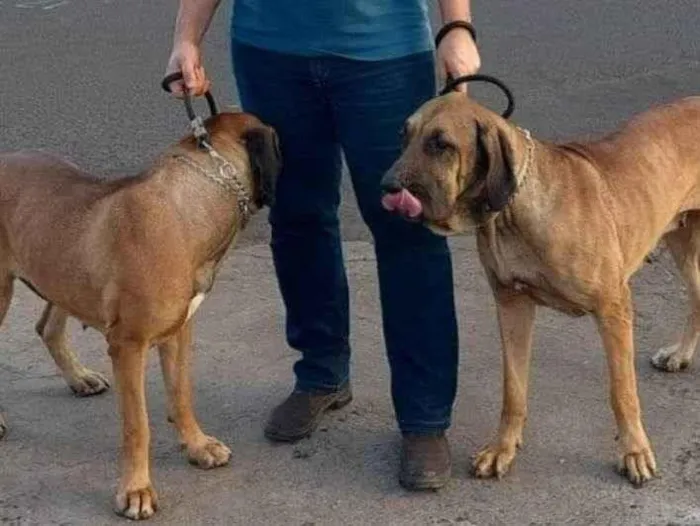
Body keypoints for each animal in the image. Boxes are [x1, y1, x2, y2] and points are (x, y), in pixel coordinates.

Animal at [0, 111, 278, 520]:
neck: (190, 204)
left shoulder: (179, 332)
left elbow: (181, 393)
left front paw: (197, 445)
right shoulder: (128, 345)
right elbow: (138, 425)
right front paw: (136, 490)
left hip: (61, 268)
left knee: (47, 327)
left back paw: (79, 378)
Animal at [380, 94, 700, 486]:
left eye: (442, 144)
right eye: (404, 135)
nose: (387, 186)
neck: (514, 211)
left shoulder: (613, 307)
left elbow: (623, 391)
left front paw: (634, 451)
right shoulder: (512, 305)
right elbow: (513, 389)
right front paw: (502, 447)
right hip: (682, 238)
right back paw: (681, 354)